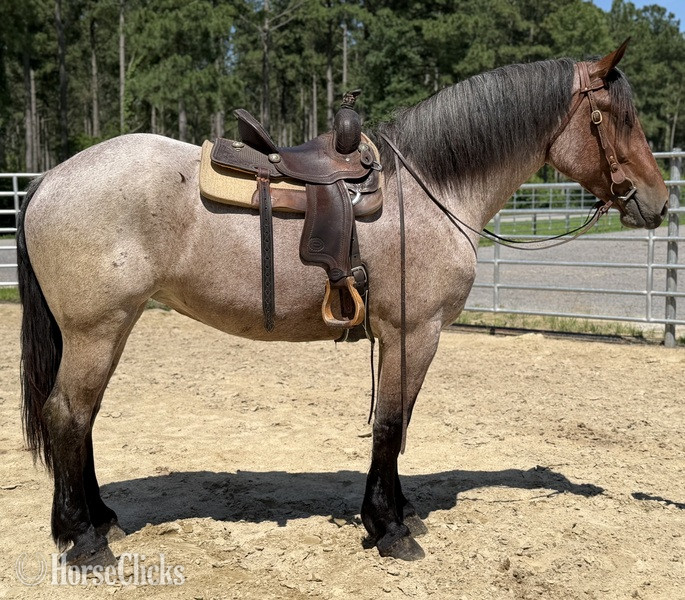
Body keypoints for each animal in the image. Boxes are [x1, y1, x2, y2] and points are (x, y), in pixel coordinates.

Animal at [17, 41, 668, 564]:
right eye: (616, 118)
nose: (659, 202)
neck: (431, 188)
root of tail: (49, 179)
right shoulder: (415, 331)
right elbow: (391, 424)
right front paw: (390, 528)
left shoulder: (402, 337)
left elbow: (399, 423)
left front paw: (396, 513)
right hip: (97, 328)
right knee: (67, 415)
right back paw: (84, 540)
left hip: (110, 327)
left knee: (83, 416)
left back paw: (99, 520)